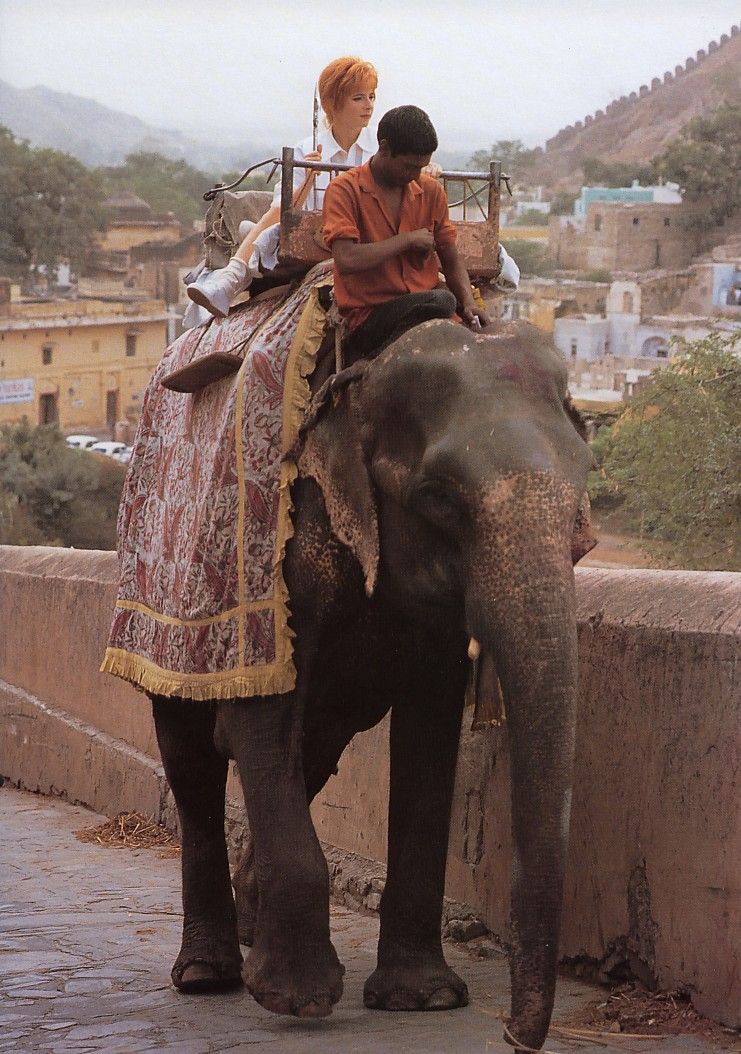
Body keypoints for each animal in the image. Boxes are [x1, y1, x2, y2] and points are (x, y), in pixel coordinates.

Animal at [149, 316, 598, 1049]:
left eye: (585, 481)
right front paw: (297, 1000)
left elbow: (430, 734)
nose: (513, 1035)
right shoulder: (289, 545)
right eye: (439, 497)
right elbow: (258, 718)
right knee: (190, 754)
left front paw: (423, 1000)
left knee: (311, 752)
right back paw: (208, 973)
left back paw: (251, 927)